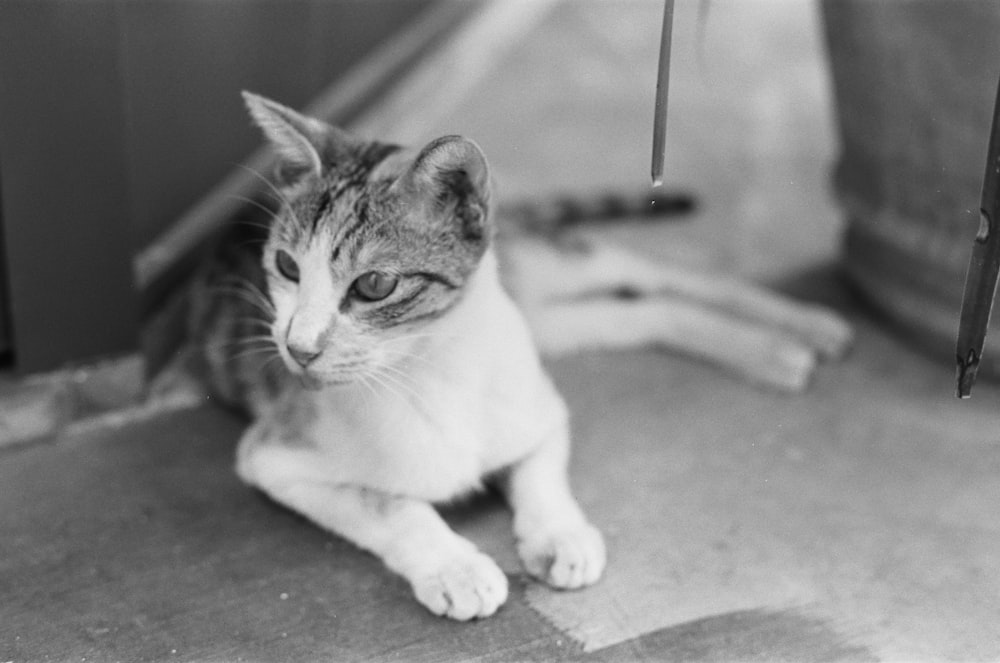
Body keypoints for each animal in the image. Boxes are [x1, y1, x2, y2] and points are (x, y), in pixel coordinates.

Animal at [188, 93, 852, 624]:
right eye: (285, 266)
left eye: (374, 284)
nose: (298, 349)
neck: (433, 368)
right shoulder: (274, 457)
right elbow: (387, 503)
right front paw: (456, 568)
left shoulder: (537, 408)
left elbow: (540, 472)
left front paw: (560, 533)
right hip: (552, 324)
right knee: (646, 311)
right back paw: (773, 351)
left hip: (551, 275)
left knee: (653, 272)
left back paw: (806, 323)